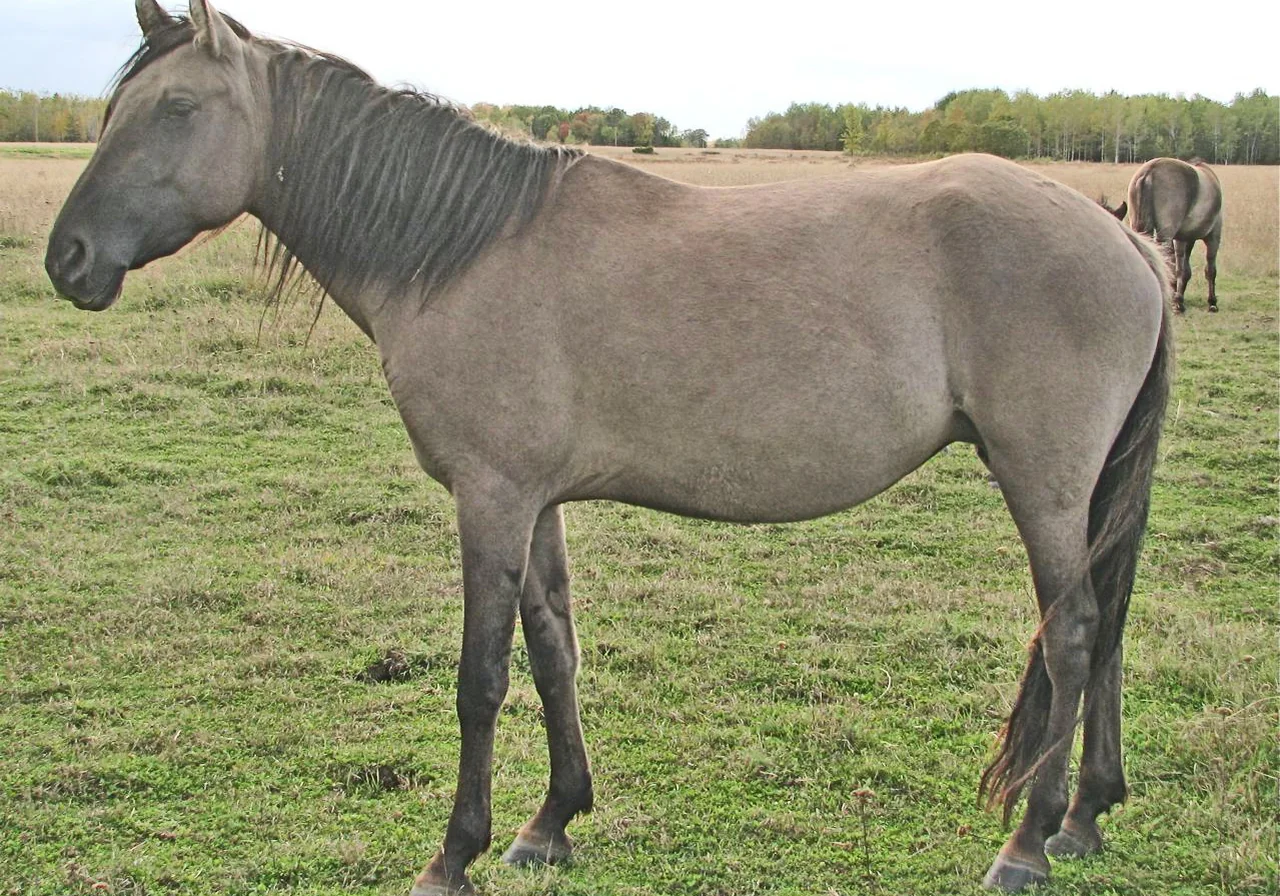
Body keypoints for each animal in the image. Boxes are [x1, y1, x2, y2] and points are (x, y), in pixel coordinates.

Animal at [45, 2, 1173, 893]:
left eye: (176, 111)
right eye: (114, 112)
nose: (69, 258)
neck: (458, 251)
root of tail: (1124, 239)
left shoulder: (490, 496)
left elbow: (480, 675)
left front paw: (451, 854)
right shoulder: (534, 500)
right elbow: (554, 649)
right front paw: (551, 821)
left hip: (1041, 479)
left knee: (1073, 631)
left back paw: (1026, 843)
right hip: (1079, 490)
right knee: (1111, 623)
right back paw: (1083, 818)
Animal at [1126, 157, 1224, 312]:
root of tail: (1149, 171)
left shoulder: (1183, 238)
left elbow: (1184, 270)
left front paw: (1178, 299)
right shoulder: (1213, 236)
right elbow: (1209, 270)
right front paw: (1211, 302)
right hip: (1166, 236)